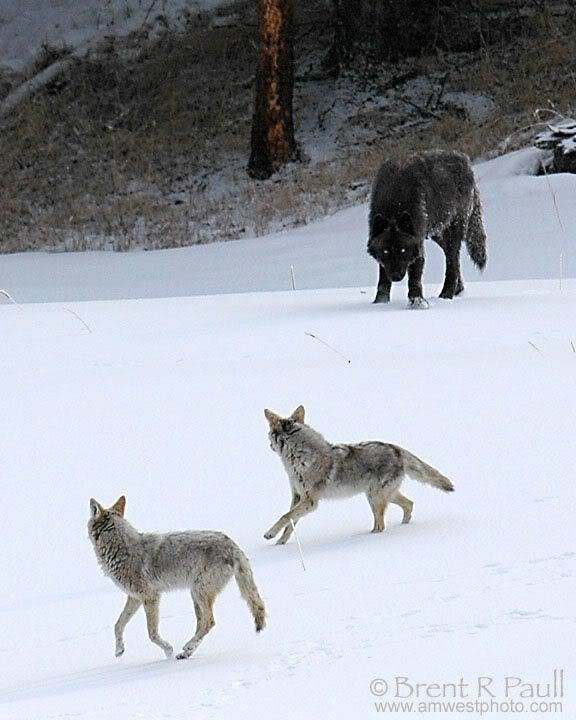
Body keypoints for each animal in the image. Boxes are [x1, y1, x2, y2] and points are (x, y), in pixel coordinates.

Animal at [88, 496, 266, 660]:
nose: (90, 501)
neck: (119, 549)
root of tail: (233, 545)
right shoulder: (135, 598)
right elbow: (118, 624)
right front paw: (119, 650)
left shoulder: (151, 597)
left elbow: (152, 634)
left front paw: (168, 651)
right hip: (195, 596)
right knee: (202, 623)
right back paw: (186, 653)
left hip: (199, 593)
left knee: (210, 621)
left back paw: (187, 647)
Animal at [263, 406, 453, 544]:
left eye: (269, 435)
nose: (269, 445)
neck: (298, 459)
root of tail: (396, 449)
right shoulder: (297, 497)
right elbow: (290, 523)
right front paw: (280, 543)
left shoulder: (310, 502)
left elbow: (285, 516)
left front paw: (269, 534)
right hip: (382, 496)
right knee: (409, 504)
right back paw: (403, 526)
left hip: (375, 498)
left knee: (382, 524)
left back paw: (369, 537)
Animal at [367, 150, 487, 307]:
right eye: (386, 251)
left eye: (403, 250)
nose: (396, 277)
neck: (394, 202)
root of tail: (465, 160)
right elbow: (383, 278)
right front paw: (380, 303)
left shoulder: (417, 243)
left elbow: (415, 277)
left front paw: (417, 302)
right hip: (437, 234)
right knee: (452, 257)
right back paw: (458, 290)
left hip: (454, 230)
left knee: (452, 261)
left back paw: (446, 295)